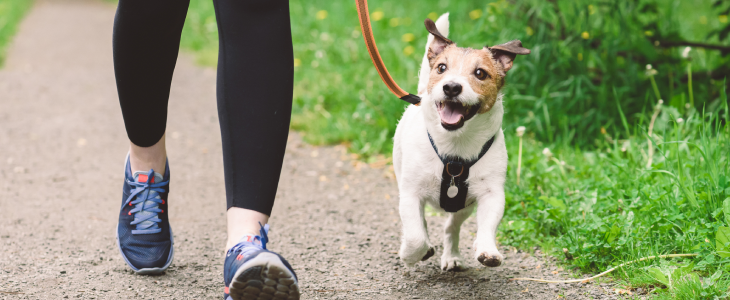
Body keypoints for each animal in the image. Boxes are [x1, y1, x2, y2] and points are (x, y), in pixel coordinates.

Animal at [392, 14, 528, 270]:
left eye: (480, 73)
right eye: (441, 68)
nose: (451, 87)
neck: (455, 147)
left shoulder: (491, 194)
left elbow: (487, 225)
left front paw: (487, 250)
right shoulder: (410, 193)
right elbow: (415, 236)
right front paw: (410, 254)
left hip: (464, 206)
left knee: (451, 227)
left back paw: (452, 255)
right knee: (421, 225)